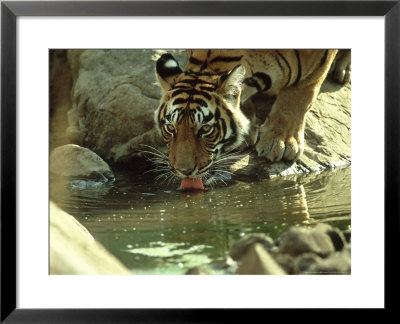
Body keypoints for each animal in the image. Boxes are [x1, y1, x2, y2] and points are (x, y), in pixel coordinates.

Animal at [155, 49, 352, 189]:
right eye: (170, 128)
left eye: (205, 129)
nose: (184, 171)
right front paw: (247, 132)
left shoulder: (319, 62)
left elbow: (300, 95)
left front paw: (282, 143)